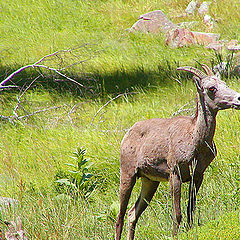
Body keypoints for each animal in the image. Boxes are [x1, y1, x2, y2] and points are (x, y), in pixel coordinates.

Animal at [115, 64, 240, 239]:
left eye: (224, 83)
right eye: (211, 88)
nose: (238, 98)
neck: (196, 143)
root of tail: (127, 135)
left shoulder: (198, 176)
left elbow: (190, 210)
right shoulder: (175, 174)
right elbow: (177, 214)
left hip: (150, 181)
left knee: (132, 213)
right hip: (128, 175)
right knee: (120, 216)